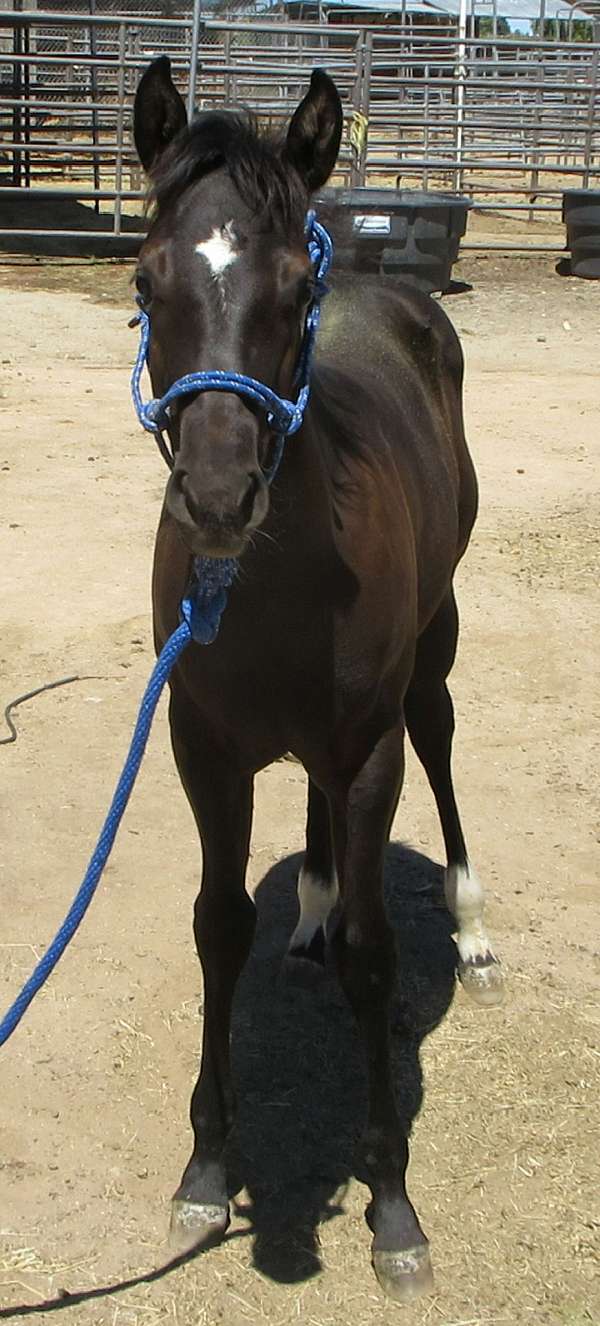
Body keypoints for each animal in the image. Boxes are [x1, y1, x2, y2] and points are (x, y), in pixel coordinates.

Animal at [132, 56, 503, 1302]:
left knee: (443, 746)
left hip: (431, 655)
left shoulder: (369, 749)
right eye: (145, 276)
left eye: (296, 289)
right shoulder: (203, 746)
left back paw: (472, 929)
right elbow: (215, 926)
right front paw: (206, 1168)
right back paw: (310, 911)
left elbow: (375, 958)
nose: (217, 496)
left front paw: (392, 1206)